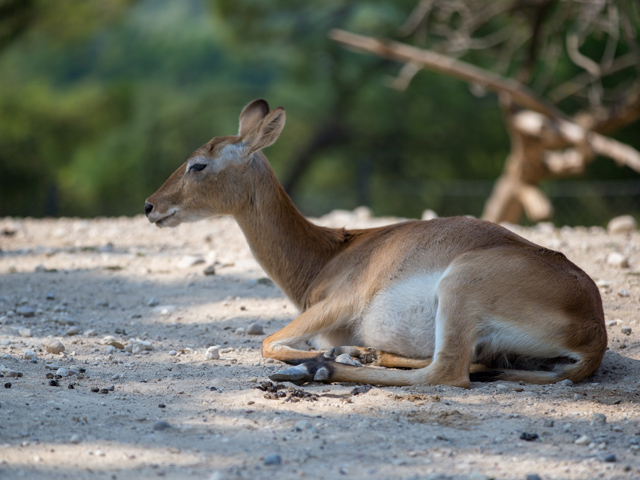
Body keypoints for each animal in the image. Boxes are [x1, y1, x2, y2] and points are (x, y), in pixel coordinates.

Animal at [144, 99, 604, 388]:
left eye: (199, 164)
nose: (151, 206)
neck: (328, 254)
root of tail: (592, 331)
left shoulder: (337, 303)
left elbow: (269, 342)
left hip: (459, 288)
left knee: (450, 372)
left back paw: (323, 369)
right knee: (476, 363)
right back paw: (359, 353)